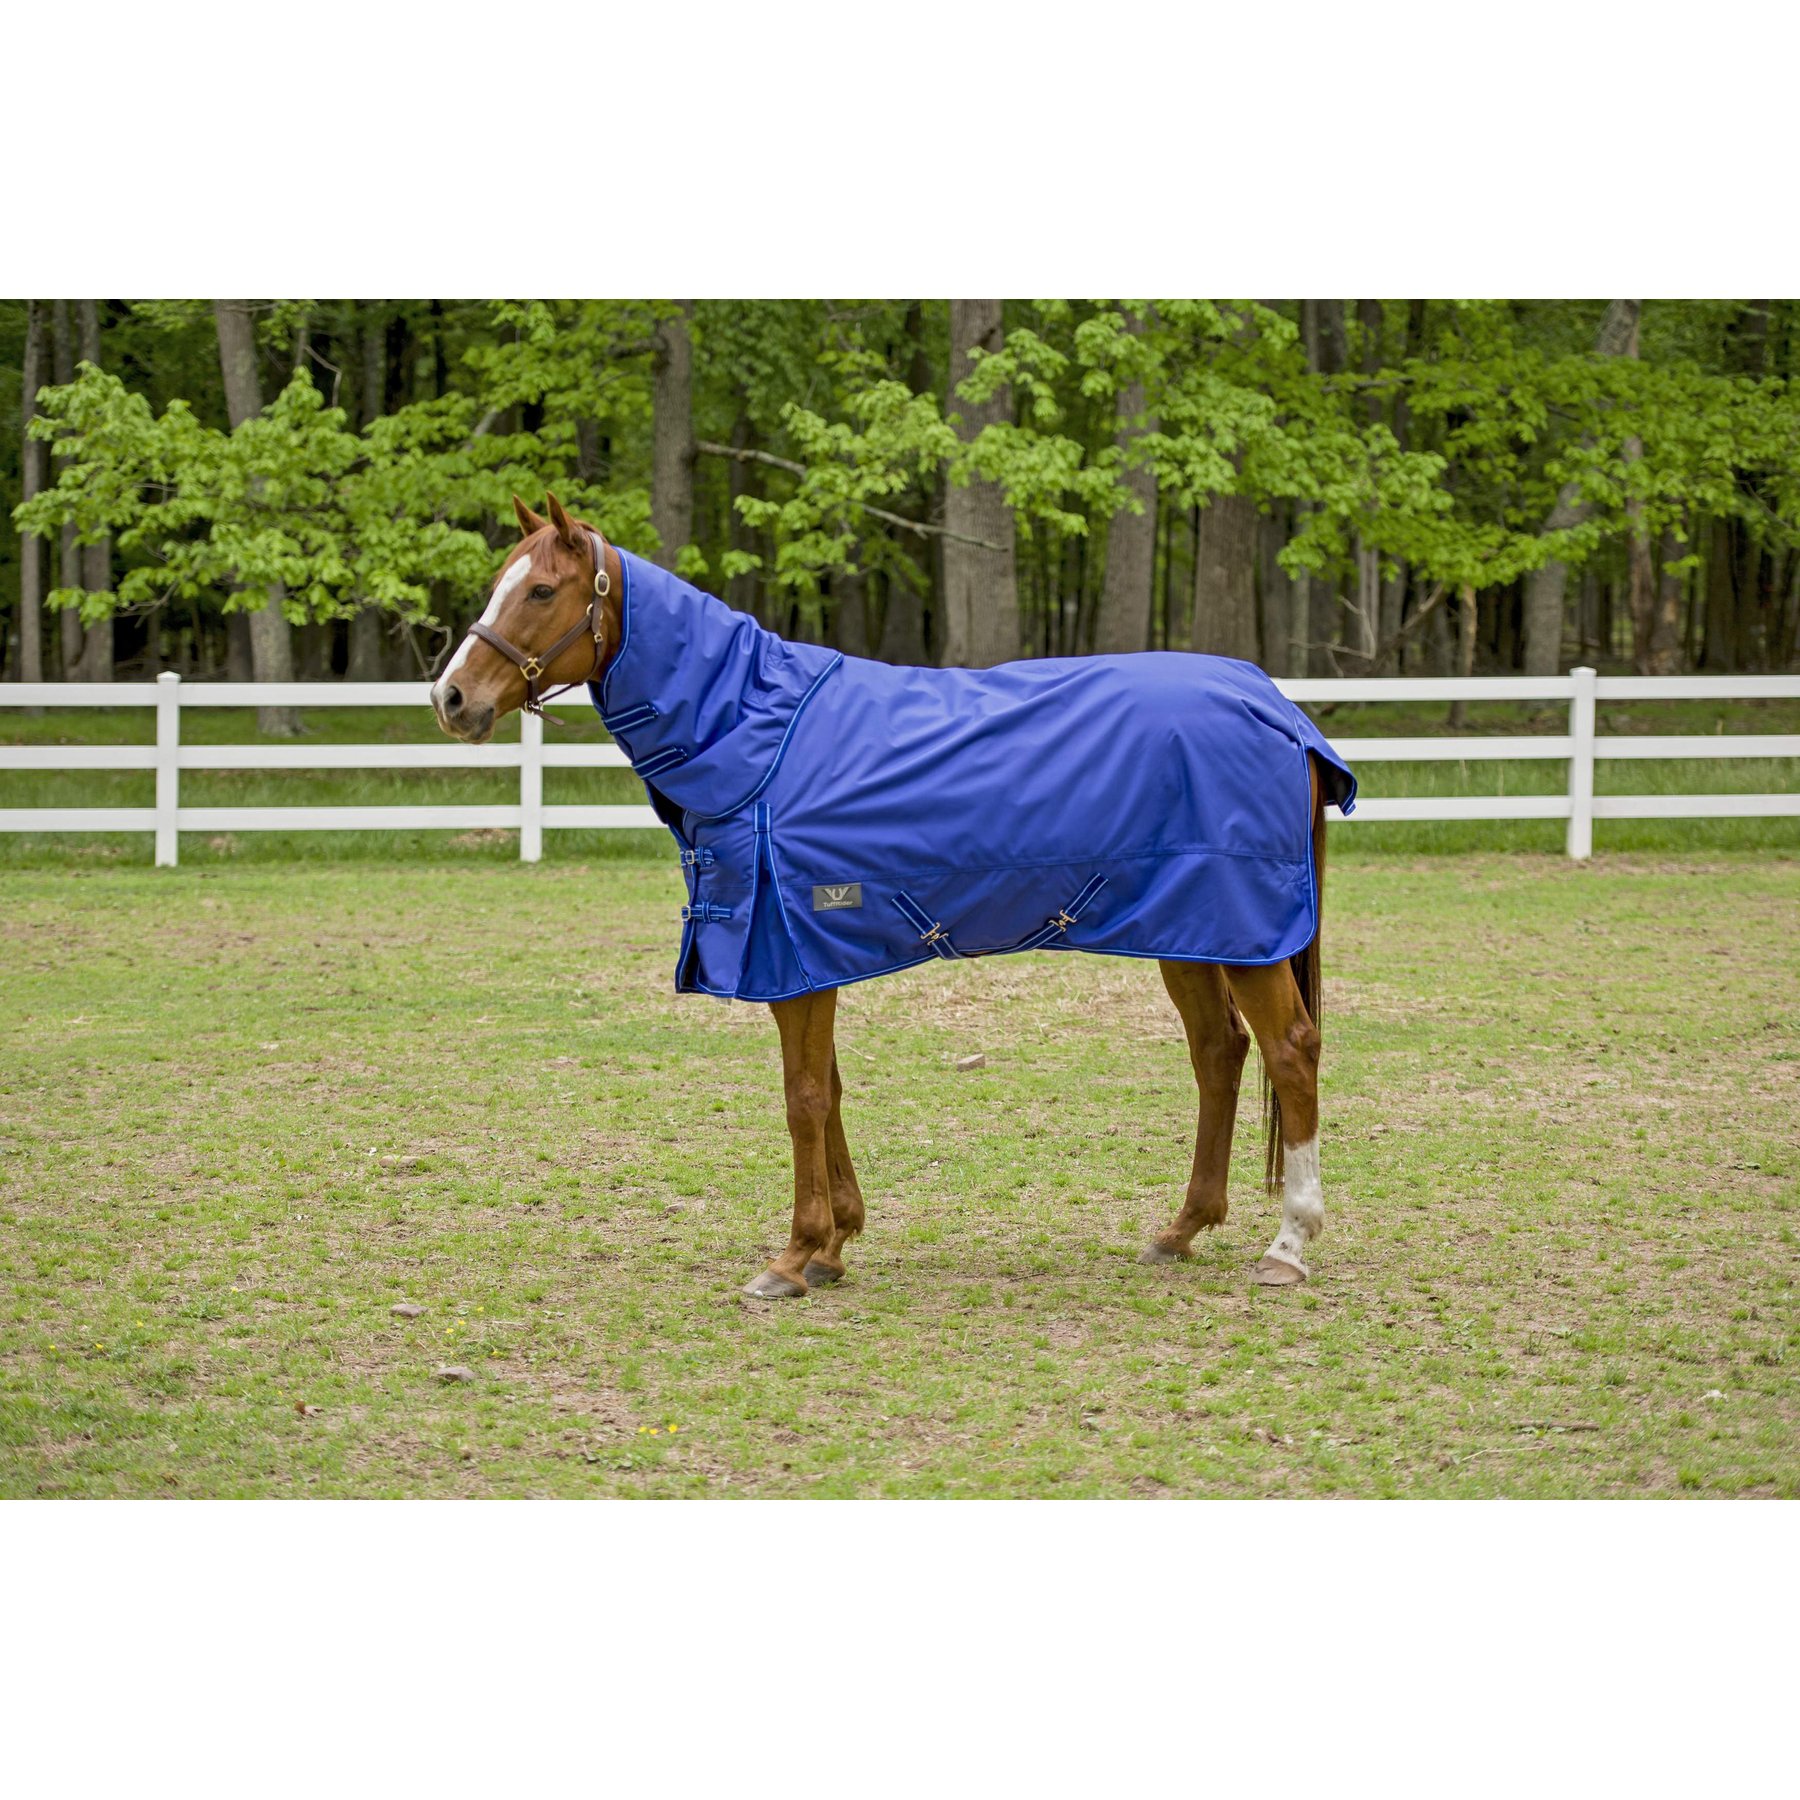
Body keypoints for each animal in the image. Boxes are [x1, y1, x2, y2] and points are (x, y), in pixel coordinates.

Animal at [431, 492, 1356, 1299]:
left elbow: (803, 1098)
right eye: (502, 581)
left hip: (1244, 934)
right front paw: (835, 1244)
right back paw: (1181, 1229)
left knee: (1290, 1050)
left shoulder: (790, 951)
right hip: (1194, 930)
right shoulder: (807, 962)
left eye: (541, 589)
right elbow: (828, 1090)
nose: (451, 697)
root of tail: (1278, 708)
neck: (754, 733)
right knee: (1219, 1053)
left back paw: (1289, 1244)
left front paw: (793, 1256)